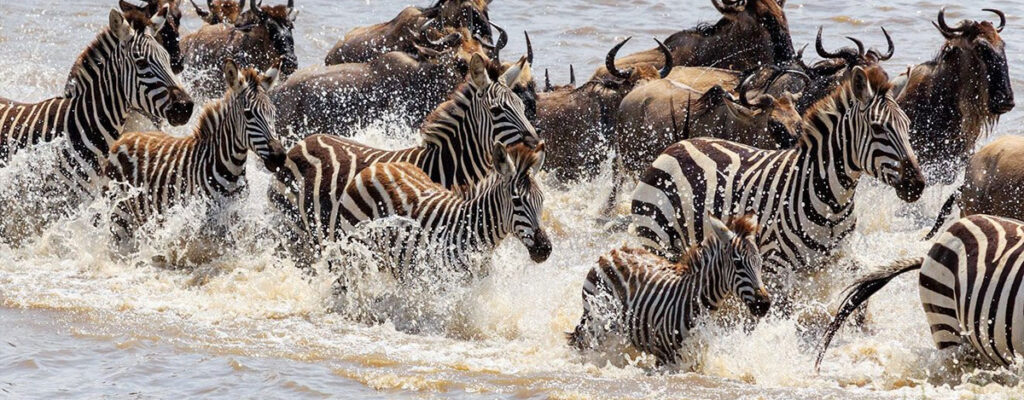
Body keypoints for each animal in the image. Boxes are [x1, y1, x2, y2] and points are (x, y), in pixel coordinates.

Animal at [105, 59, 283, 247]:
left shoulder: (233, 219)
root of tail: (124, 137)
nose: (279, 157)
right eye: (248, 114)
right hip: (120, 216)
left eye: (273, 112)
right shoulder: (202, 223)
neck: (230, 169)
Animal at [270, 54, 538, 259]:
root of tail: (303, 142)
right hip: (293, 231)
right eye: (497, 110)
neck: (441, 167)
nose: (536, 144)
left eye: (521, 106)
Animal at [336, 142, 551, 278]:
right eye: (517, 201)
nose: (545, 249)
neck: (472, 231)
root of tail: (375, 167)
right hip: (356, 250)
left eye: (542, 200)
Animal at [567, 214, 770, 367]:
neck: (697, 301)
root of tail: (612, 253)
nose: (764, 304)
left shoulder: (693, 359)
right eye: (738, 264)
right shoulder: (665, 358)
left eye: (760, 263)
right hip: (595, 321)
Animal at [630, 65, 925, 285]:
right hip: (655, 238)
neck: (832, 202)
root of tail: (677, 145)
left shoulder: (838, 262)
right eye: (878, 128)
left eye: (908, 125)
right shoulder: (774, 267)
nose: (917, 184)